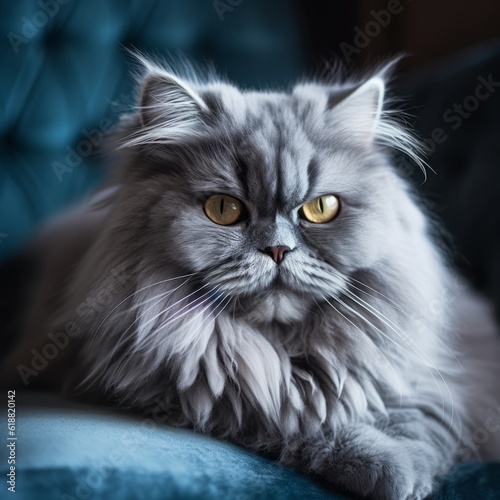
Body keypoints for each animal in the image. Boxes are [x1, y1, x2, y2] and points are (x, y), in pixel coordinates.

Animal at [3, 54, 500, 500]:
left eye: (321, 208)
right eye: (224, 209)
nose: (278, 250)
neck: (281, 350)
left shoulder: (439, 380)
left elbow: (415, 415)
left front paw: (410, 470)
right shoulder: (171, 390)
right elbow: (289, 419)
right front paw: (386, 466)